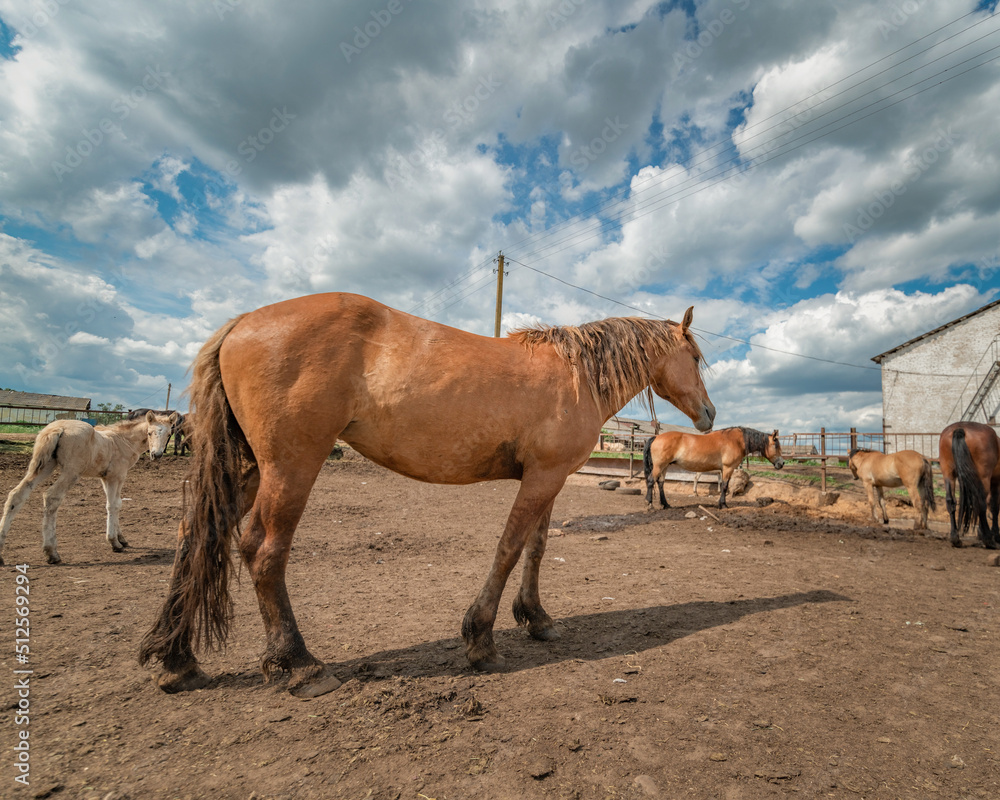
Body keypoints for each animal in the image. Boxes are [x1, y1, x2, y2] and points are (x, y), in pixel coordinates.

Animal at [0, 411, 178, 565]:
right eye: (149, 433)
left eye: (168, 434)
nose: (156, 455)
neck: (123, 440)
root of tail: (58, 428)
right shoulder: (116, 477)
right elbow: (114, 505)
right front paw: (114, 542)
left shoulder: (105, 478)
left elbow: (116, 504)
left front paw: (121, 538)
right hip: (71, 472)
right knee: (51, 497)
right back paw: (52, 553)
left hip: (43, 466)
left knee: (17, 495)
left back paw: (1, 554)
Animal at [138, 292, 715, 698]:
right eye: (696, 356)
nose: (710, 414)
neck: (575, 375)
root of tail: (242, 323)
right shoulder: (542, 479)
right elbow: (509, 549)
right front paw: (480, 640)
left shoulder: (548, 478)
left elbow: (535, 549)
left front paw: (537, 619)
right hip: (291, 466)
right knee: (262, 549)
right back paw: (298, 665)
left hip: (248, 468)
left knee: (196, 534)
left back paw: (178, 661)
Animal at [644, 427, 783, 510]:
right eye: (776, 445)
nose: (782, 463)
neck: (736, 441)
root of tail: (656, 437)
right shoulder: (728, 468)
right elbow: (725, 486)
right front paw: (723, 505)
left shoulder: (722, 471)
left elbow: (722, 485)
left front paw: (721, 503)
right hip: (659, 466)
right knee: (651, 481)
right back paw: (649, 503)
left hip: (664, 467)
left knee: (660, 483)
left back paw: (665, 504)